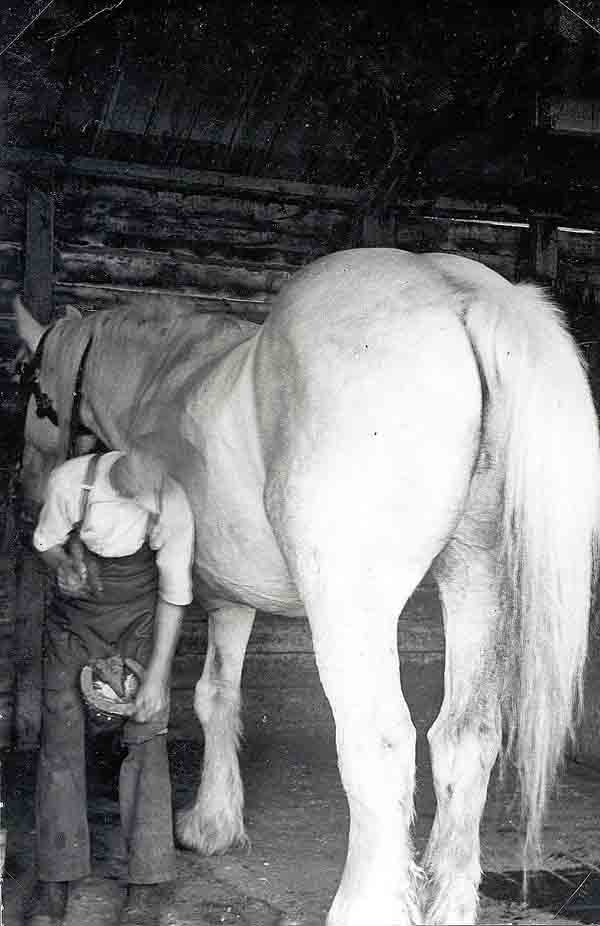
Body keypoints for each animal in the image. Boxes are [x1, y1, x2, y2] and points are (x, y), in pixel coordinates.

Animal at [14, 247, 600, 926]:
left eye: (28, 383)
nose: (27, 489)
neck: (166, 378)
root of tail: (458, 291)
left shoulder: (204, 593)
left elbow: (203, 697)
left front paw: (205, 823)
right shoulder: (234, 600)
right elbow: (220, 696)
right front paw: (215, 822)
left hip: (350, 608)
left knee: (381, 743)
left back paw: (365, 905)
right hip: (476, 583)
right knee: (464, 737)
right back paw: (447, 902)